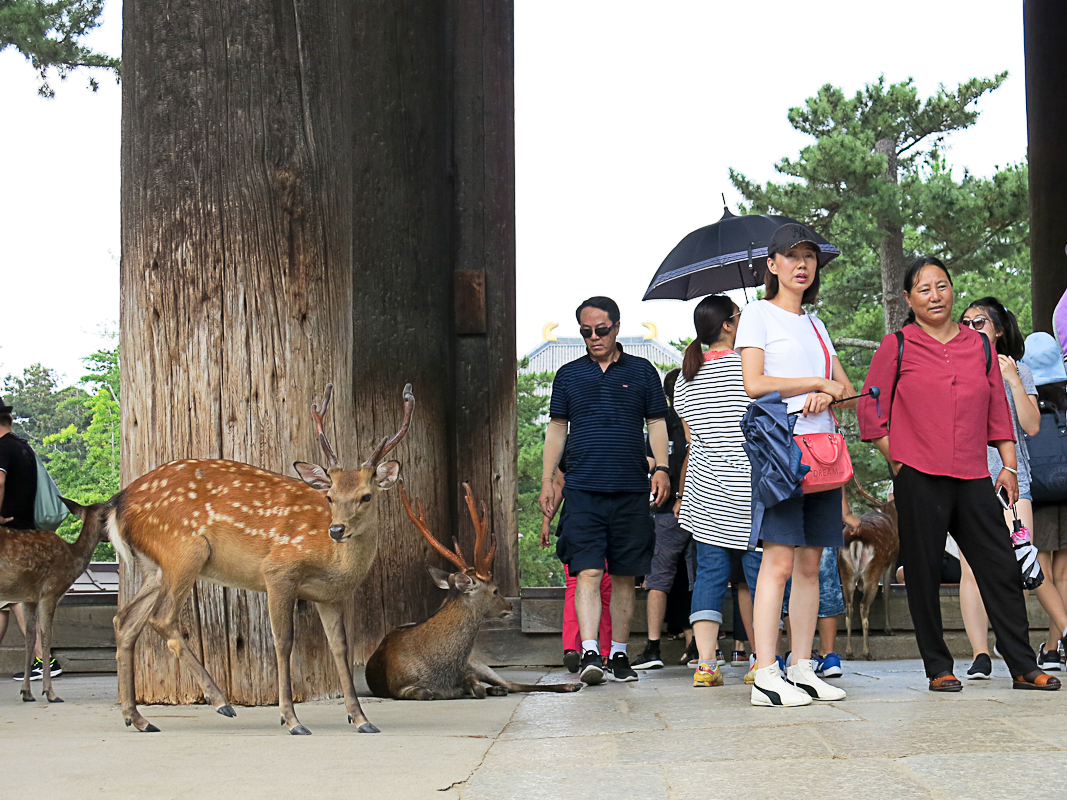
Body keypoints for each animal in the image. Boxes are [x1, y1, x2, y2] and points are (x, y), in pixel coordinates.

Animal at [0, 499, 107, 704]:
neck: (73, 558)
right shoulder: (50, 592)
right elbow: (46, 636)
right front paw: (50, 693)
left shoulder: (29, 598)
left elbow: (30, 637)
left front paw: (27, 692)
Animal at [108, 386, 413, 738]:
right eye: (330, 496)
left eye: (366, 496)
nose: (337, 529)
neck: (335, 564)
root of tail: (119, 503)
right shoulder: (279, 571)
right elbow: (283, 641)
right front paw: (292, 720)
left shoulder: (330, 595)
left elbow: (340, 648)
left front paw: (362, 719)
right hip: (184, 550)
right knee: (161, 617)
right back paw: (220, 702)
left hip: (155, 567)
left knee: (126, 620)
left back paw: (138, 718)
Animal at [367, 482, 584, 699]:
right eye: (495, 590)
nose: (510, 606)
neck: (441, 670)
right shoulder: (399, 687)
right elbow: (428, 693)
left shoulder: (468, 670)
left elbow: (477, 687)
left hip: (478, 662)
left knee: (512, 683)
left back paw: (569, 685)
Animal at [836, 482, 896, 665]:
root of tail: (856, 540)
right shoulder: (890, 562)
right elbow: (886, 593)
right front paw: (889, 629)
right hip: (873, 570)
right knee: (863, 605)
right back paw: (867, 652)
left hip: (846, 573)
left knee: (849, 607)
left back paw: (849, 652)